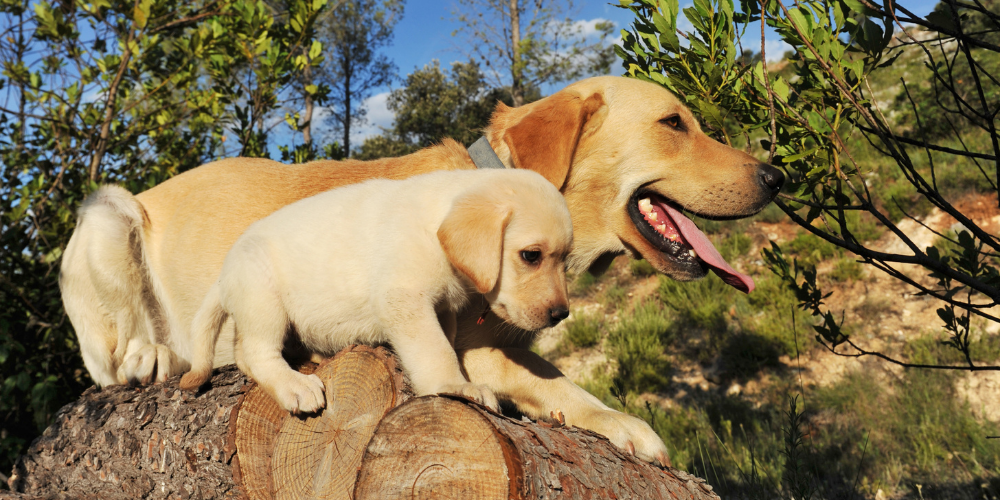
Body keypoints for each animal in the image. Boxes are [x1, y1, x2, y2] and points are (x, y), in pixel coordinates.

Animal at [175, 170, 568, 416]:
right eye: (531, 256)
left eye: (565, 257)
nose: (561, 315)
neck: (433, 227)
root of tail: (224, 274)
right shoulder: (405, 301)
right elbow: (437, 352)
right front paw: (455, 386)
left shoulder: (442, 309)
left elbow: (445, 343)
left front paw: (459, 381)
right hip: (263, 296)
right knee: (254, 353)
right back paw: (294, 384)